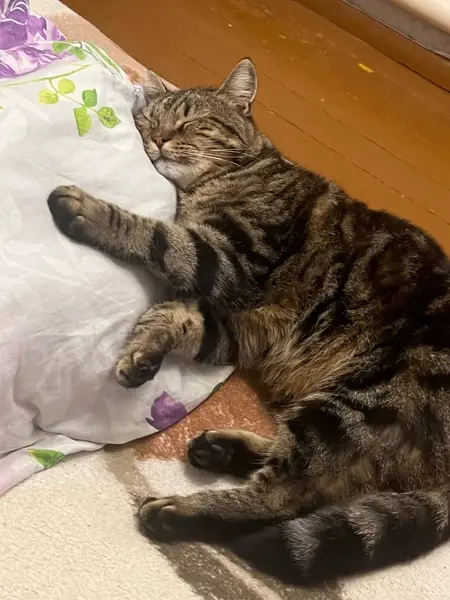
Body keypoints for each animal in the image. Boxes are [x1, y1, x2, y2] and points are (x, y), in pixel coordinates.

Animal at [47, 58, 450, 583]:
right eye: (148, 120)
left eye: (191, 123)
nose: (157, 139)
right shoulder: (244, 325)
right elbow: (174, 316)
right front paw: (142, 353)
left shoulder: (230, 259)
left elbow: (157, 238)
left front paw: (88, 211)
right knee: (330, 478)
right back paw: (221, 450)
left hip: (358, 405)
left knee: (291, 495)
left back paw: (176, 512)